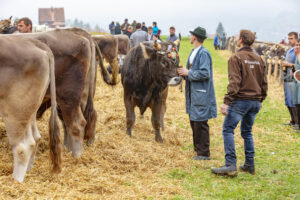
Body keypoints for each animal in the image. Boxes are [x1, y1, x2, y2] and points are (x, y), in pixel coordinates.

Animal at [0, 35, 61, 182]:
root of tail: (31, 42)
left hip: (14, 109)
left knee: (22, 148)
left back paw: (16, 181)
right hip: (29, 109)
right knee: (35, 138)